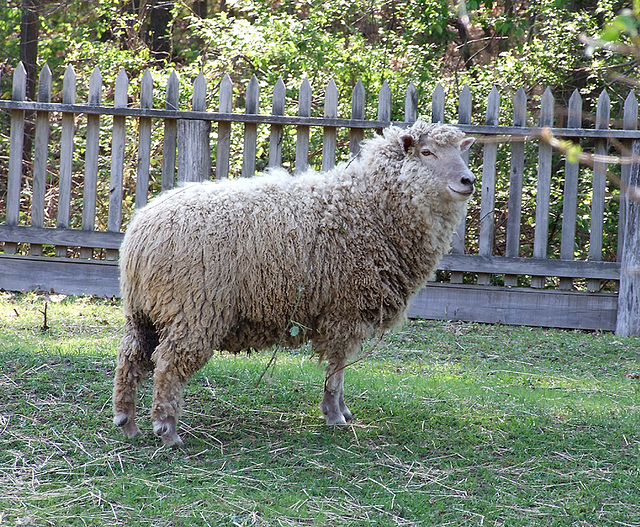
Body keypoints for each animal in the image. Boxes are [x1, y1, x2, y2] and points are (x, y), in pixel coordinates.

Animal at [111, 121, 476, 448]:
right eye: (427, 152)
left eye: (460, 152)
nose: (468, 181)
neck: (370, 206)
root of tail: (142, 231)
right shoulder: (345, 308)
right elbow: (337, 368)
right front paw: (334, 415)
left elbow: (340, 368)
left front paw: (343, 411)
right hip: (194, 308)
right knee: (168, 364)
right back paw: (167, 430)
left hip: (143, 310)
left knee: (131, 358)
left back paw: (127, 422)